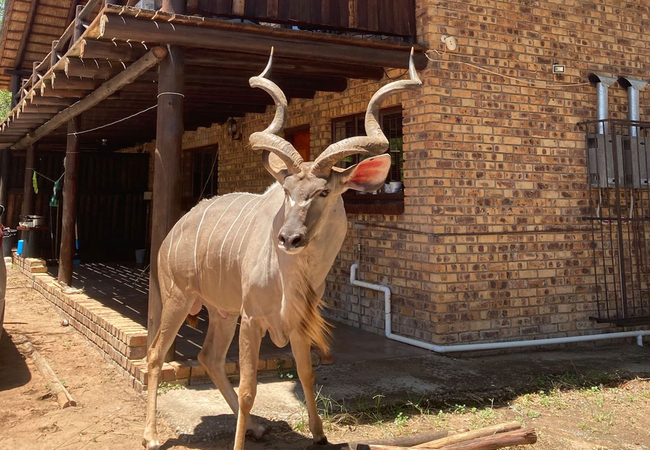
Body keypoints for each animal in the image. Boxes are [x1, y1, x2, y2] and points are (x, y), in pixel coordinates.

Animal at [142, 49, 420, 450]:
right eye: (287, 191)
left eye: (324, 191)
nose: (289, 238)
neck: (291, 277)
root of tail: (171, 234)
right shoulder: (252, 320)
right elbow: (249, 389)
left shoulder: (296, 323)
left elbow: (306, 374)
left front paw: (319, 434)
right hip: (179, 298)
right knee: (155, 354)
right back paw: (150, 435)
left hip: (223, 312)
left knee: (209, 357)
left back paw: (257, 427)